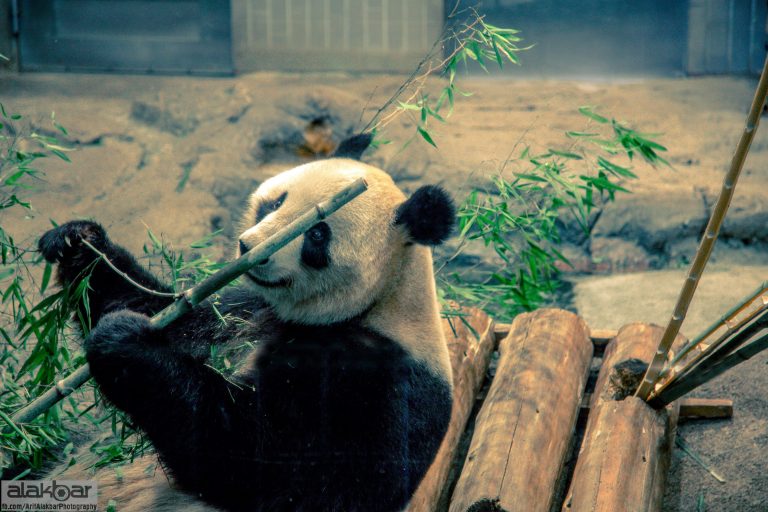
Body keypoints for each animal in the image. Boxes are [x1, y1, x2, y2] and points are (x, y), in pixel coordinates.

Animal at [39, 149, 456, 511]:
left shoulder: (376, 384)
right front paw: (79, 241)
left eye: (317, 234)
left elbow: (262, 465)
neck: (379, 303)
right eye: (275, 202)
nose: (249, 247)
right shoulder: (244, 311)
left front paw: (125, 344)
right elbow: (159, 309)